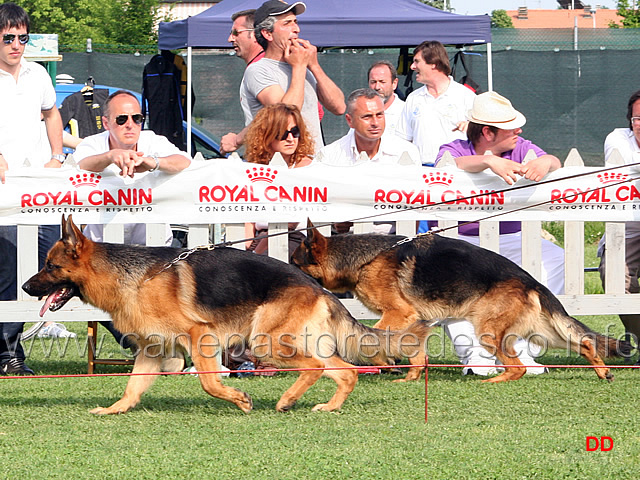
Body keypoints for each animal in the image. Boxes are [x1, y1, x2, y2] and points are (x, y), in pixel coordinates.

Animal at [21, 216, 430, 414]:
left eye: (50, 266)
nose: (24, 287)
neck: (132, 277)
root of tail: (319, 288)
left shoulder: (199, 337)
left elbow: (210, 382)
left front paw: (239, 399)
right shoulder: (154, 351)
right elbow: (132, 387)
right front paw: (114, 410)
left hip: (265, 344)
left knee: (314, 368)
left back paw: (286, 401)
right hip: (294, 344)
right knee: (345, 373)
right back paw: (327, 407)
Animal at [292, 221, 632, 382]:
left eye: (294, 262)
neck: (362, 260)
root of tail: (531, 280)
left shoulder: (398, 313)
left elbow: (377, 336)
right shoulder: (414, 319)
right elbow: (410, 347)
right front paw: (409, 375)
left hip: (489, 331)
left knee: (518, 367)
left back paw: (494, 382)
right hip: (542, 332)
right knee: (584, 342)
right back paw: (602, 371)